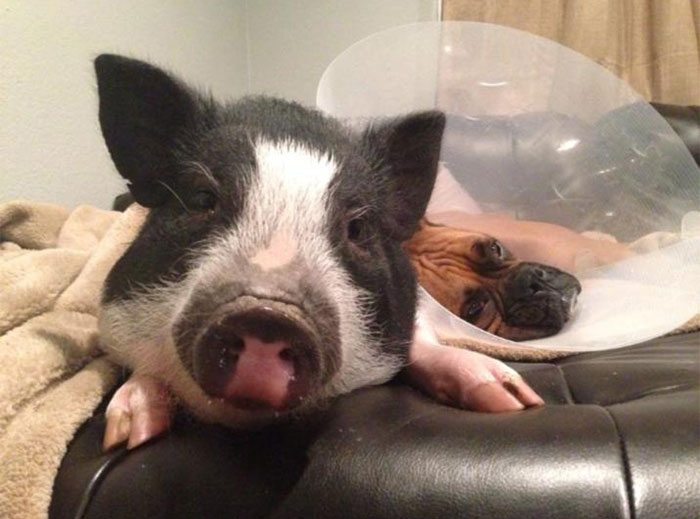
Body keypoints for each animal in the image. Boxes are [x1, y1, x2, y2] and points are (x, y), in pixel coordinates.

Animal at [94, 55, 543, 451]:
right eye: (202, 199)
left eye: (358, 229)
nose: (267, 313)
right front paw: (127, 434)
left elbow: (424, 344)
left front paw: (514, 400)